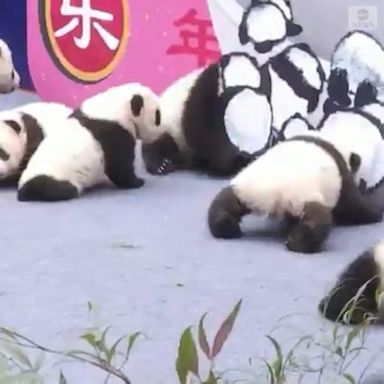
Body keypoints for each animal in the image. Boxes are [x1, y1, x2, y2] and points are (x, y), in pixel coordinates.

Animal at [17, 83, 161, 202]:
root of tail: (22, 189)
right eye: (158, 116)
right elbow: (119, 166)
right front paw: (137, 182)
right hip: (55, 178)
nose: (160, 133)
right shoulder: (113, 133)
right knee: (63, 190)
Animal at [142, 51, 272, 177]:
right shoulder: (204, 94)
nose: (246, 155)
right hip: (165, 124)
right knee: (160, 144)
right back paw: (163, 163)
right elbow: (199, 130)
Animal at [208, 135, 382, 255]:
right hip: (303, 196)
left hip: (246, 187)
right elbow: (353, 207)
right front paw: (375, 211)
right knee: (317, 218)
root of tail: (274, 193)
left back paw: (226, 228)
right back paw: (298, 243)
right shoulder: (342, 178)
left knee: (224, 202)